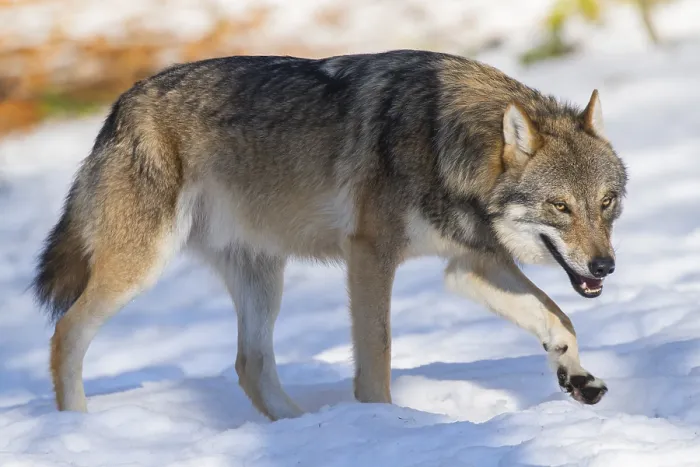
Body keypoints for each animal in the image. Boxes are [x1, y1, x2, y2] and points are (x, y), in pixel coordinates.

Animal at [32, 49, 627, 420]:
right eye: (560, 206)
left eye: (606, 203)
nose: (605, 267)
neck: (444, 142)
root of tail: (119, 107)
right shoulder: (369, 255)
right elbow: (377, 357)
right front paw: (381, 424)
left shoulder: (470, 265)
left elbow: (559, 319)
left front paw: (577, 378)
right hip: (141, 267)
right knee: (65, 334)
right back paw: (77, 426)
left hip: (263, 278)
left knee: (251, 365)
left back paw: (302, 429)